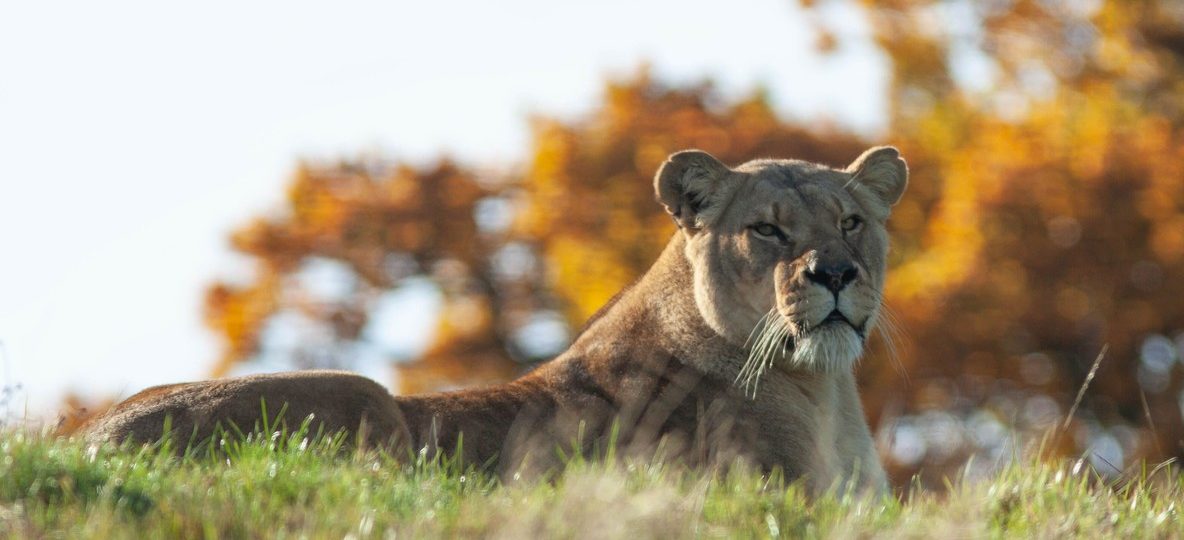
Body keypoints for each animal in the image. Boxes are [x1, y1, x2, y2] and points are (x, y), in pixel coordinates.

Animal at [80, 146, 907, 494]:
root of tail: (87, 441)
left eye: (851, 222)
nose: (835, 273)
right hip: (362, 393)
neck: (825, 392)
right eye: (766, 231)